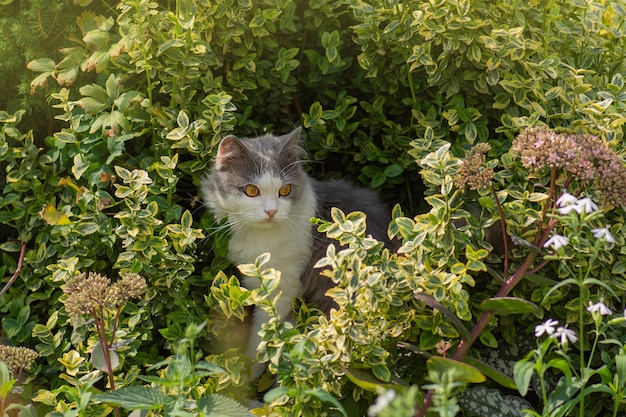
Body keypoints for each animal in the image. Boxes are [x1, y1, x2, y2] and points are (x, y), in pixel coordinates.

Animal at [201, 127, 390, 376]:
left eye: (285, 190)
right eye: (251, 190)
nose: (271, 211)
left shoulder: (282, 284)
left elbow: (262, 338)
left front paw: (248, 376)